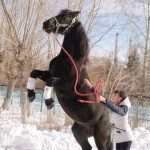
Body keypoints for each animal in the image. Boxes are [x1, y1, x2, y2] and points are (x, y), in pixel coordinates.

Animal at [26, 9, 112, 150]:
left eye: (65, 16)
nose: (46, 24)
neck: (69, 58)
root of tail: (109, 122)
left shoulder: (66, 84)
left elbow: (50, 82)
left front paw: (49, 102)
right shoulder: (50, 73)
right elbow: (34, 72)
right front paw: (31, 95)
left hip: (100, 137)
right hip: (78, 131)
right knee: (87, 147)